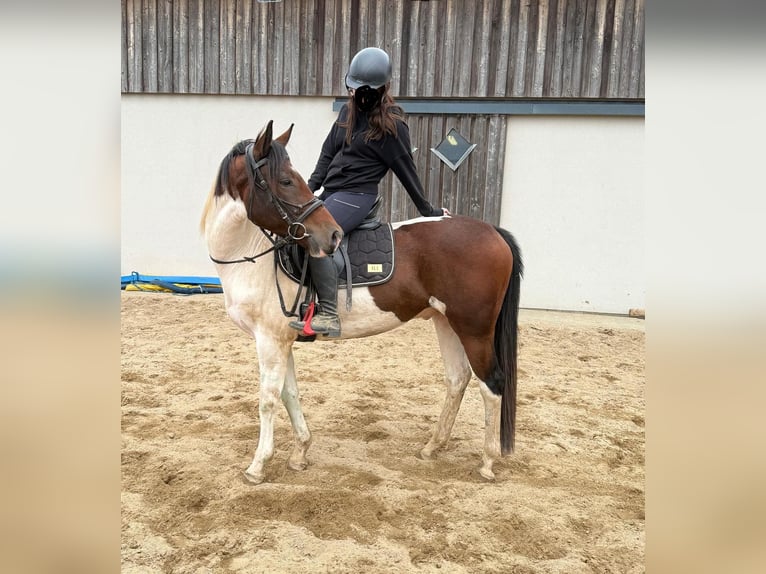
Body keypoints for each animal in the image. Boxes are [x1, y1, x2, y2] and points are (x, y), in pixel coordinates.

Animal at [200, 120, 523, 484]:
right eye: (285, 180)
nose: (332, 235)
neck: (252, 256)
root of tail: (493, 231)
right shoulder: (282, 340)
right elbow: (288, 393)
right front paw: (300, 452)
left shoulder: (269, 339)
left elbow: (268, 399)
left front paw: (257, 466)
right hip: (447, 322)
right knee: (457, 378)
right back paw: (432, 447)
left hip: (474, 329)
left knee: (491, 384)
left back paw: (487, 461)